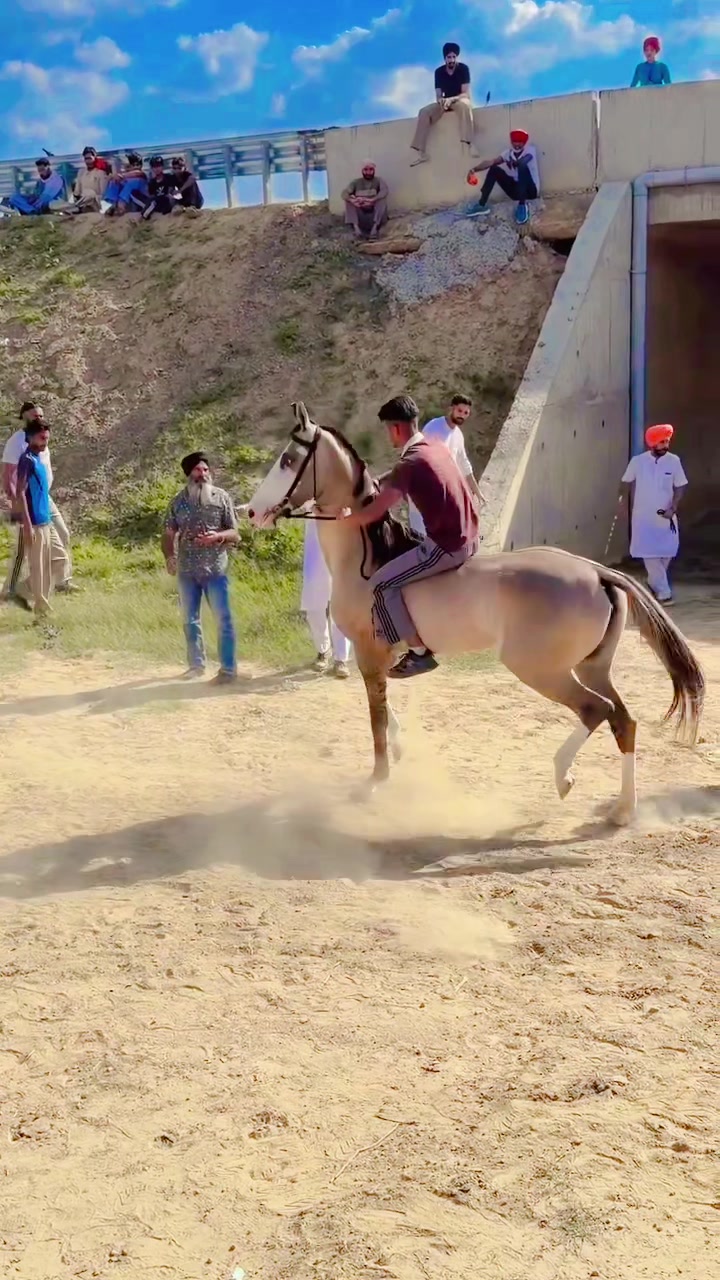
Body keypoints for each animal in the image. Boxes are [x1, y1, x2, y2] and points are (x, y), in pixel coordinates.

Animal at [247, 402, 705, 825]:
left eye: (288, 459)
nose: (252, 512)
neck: (368, 556)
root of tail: (596, 571)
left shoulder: (368, 652)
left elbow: (376, 717)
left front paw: (376, 780)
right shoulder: (381, 655)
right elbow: (386, 712)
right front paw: (399, 749)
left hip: (539, 668)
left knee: (596, 711)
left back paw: (563, 778)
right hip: (591, 667)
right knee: (623, 721)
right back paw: (622, 810)